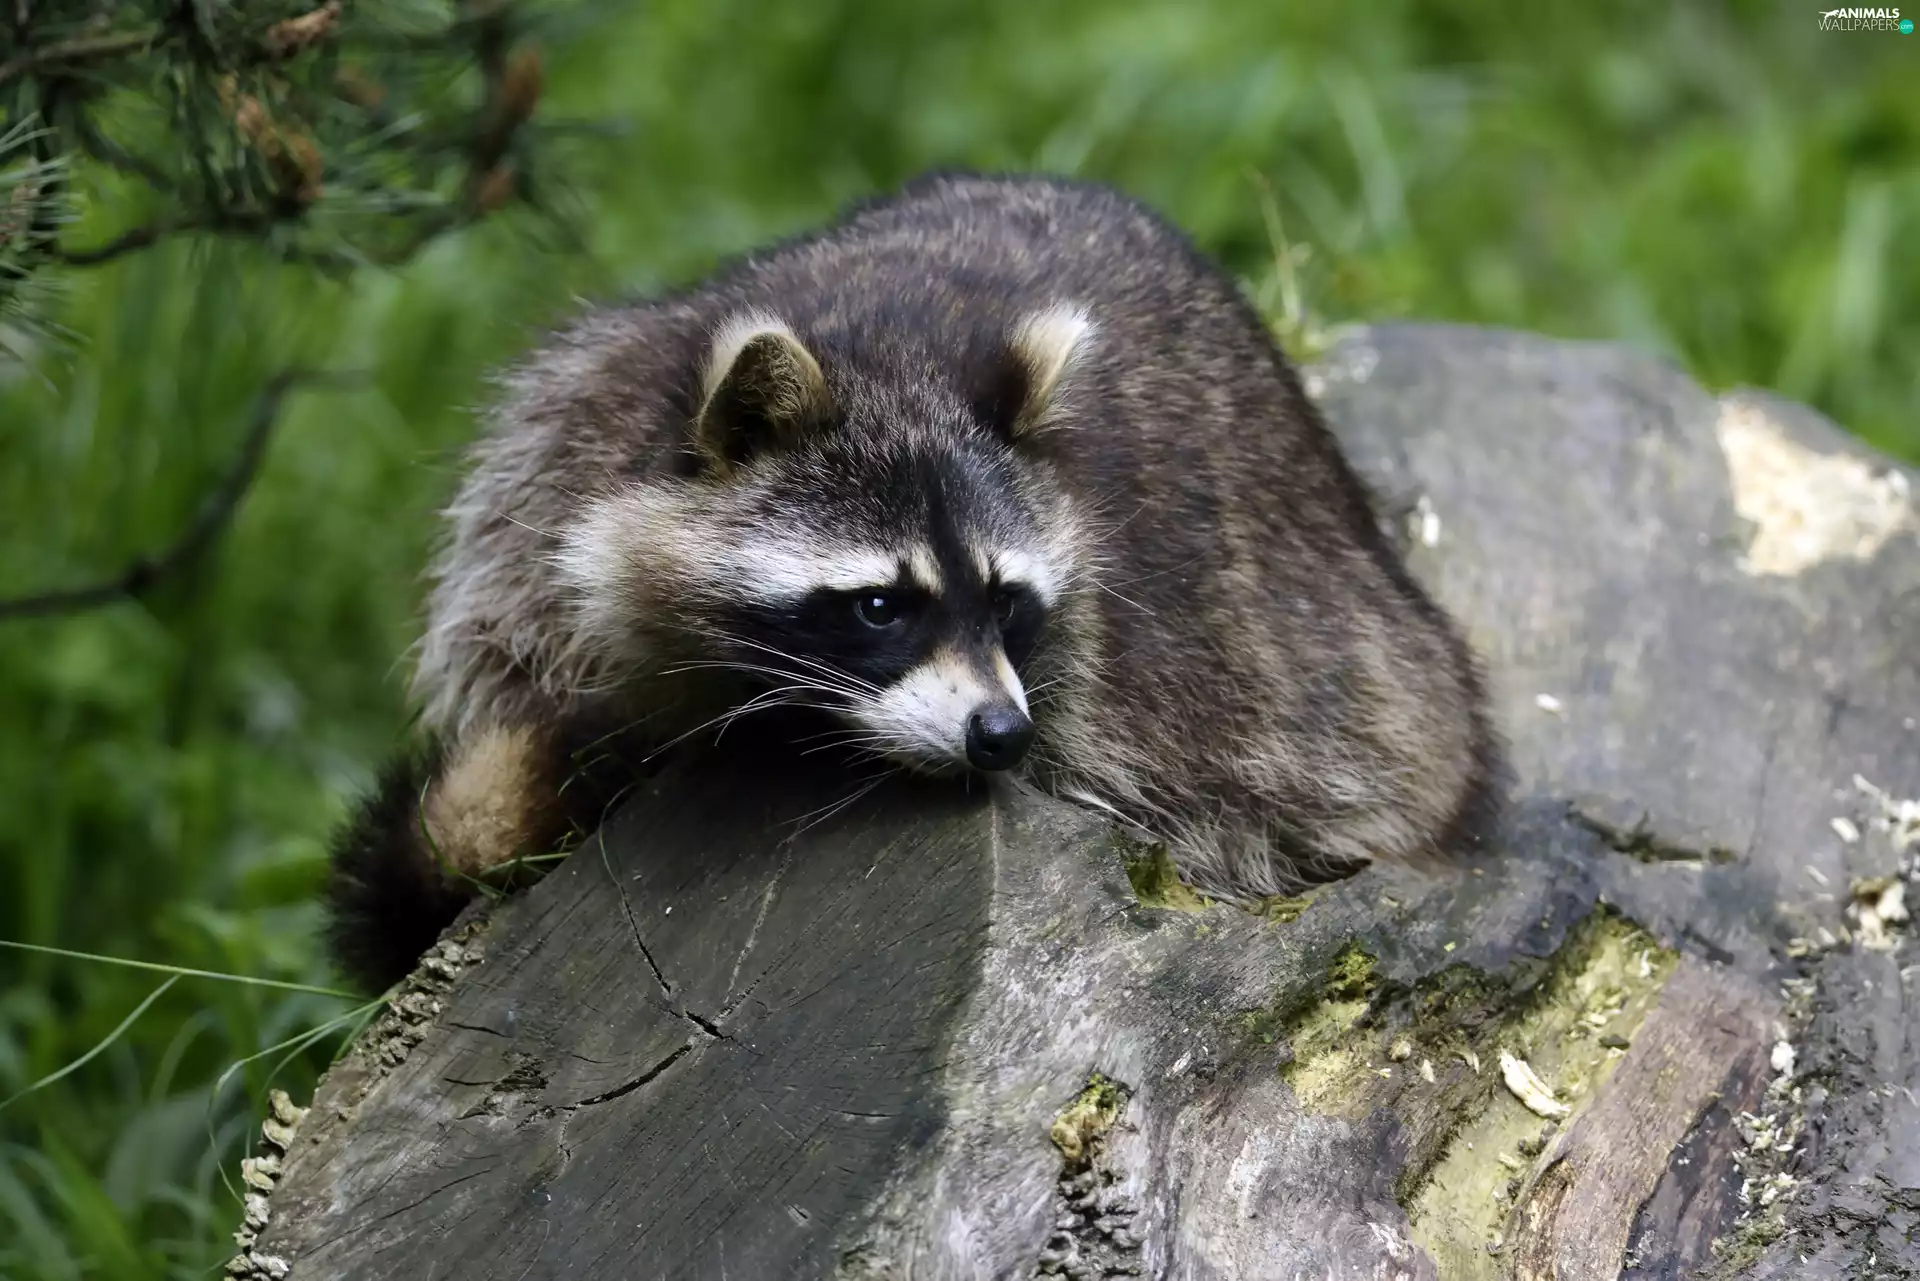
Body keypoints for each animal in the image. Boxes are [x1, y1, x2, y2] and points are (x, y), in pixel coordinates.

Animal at [324, 172, 1502, 992]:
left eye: (1007, 602)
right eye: (882, 606)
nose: (1000, 734)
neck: (891, 357)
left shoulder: (1141, 691)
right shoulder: (550, 471)